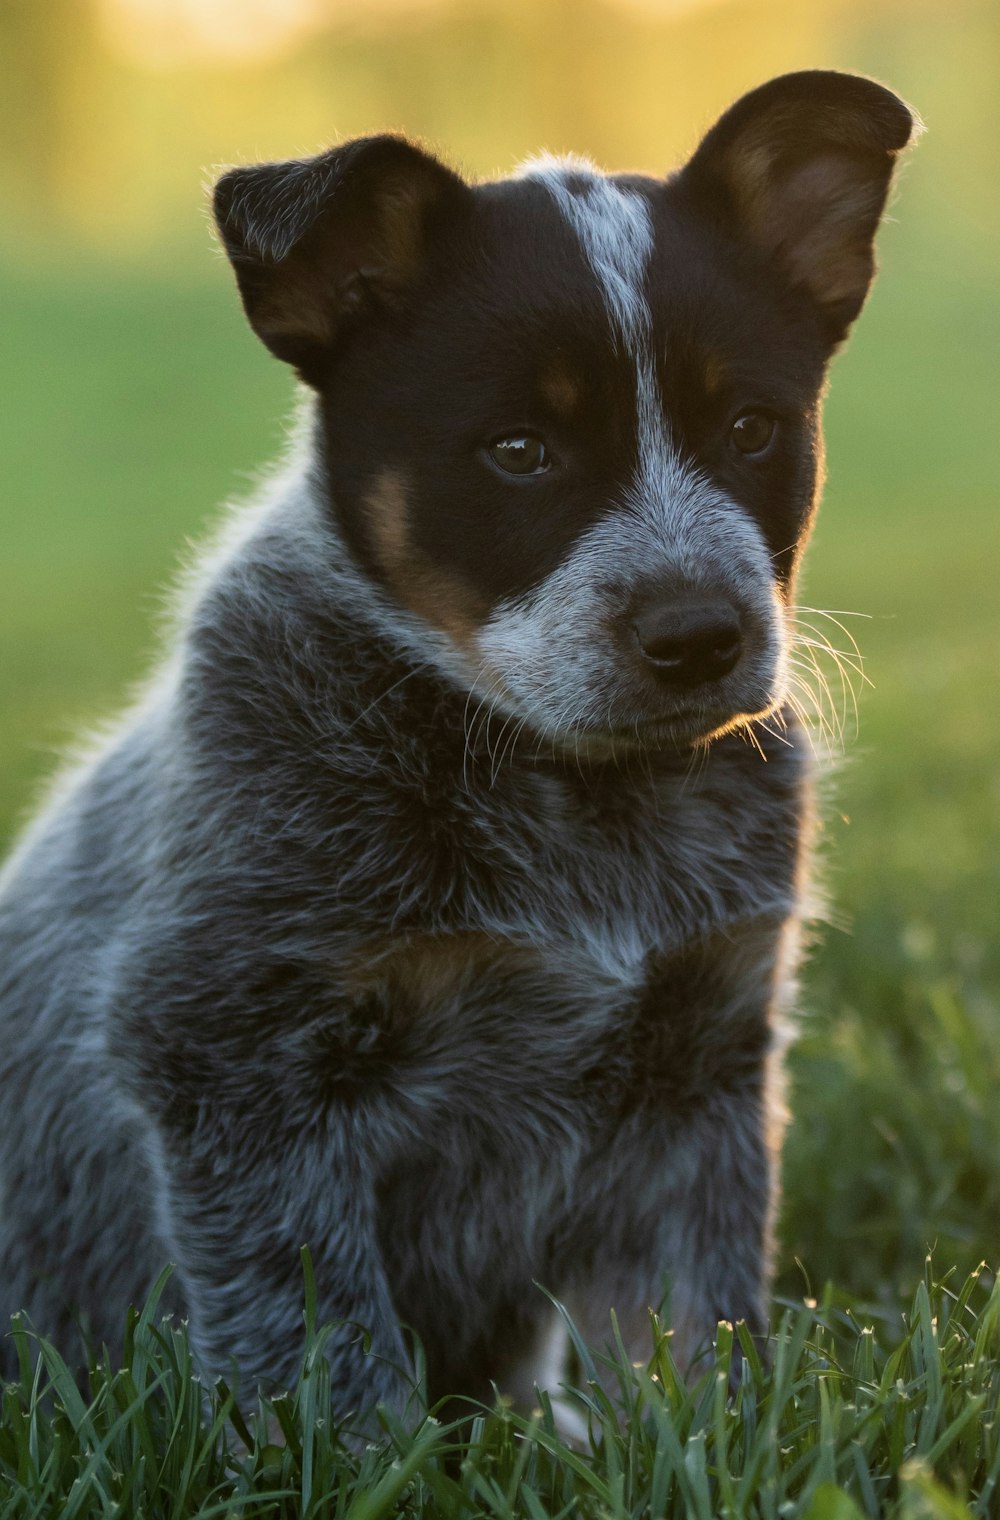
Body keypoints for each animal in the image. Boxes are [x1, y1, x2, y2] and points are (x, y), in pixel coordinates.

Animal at [0, 68, 911, 1422]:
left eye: (751, 426)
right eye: (519, 450)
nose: (699, 632)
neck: (577, 796)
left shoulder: (697, 1055)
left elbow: (694, 1323)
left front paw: (705, 1430)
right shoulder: (237, 1053)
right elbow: (319, 1338)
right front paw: (363, 1449)